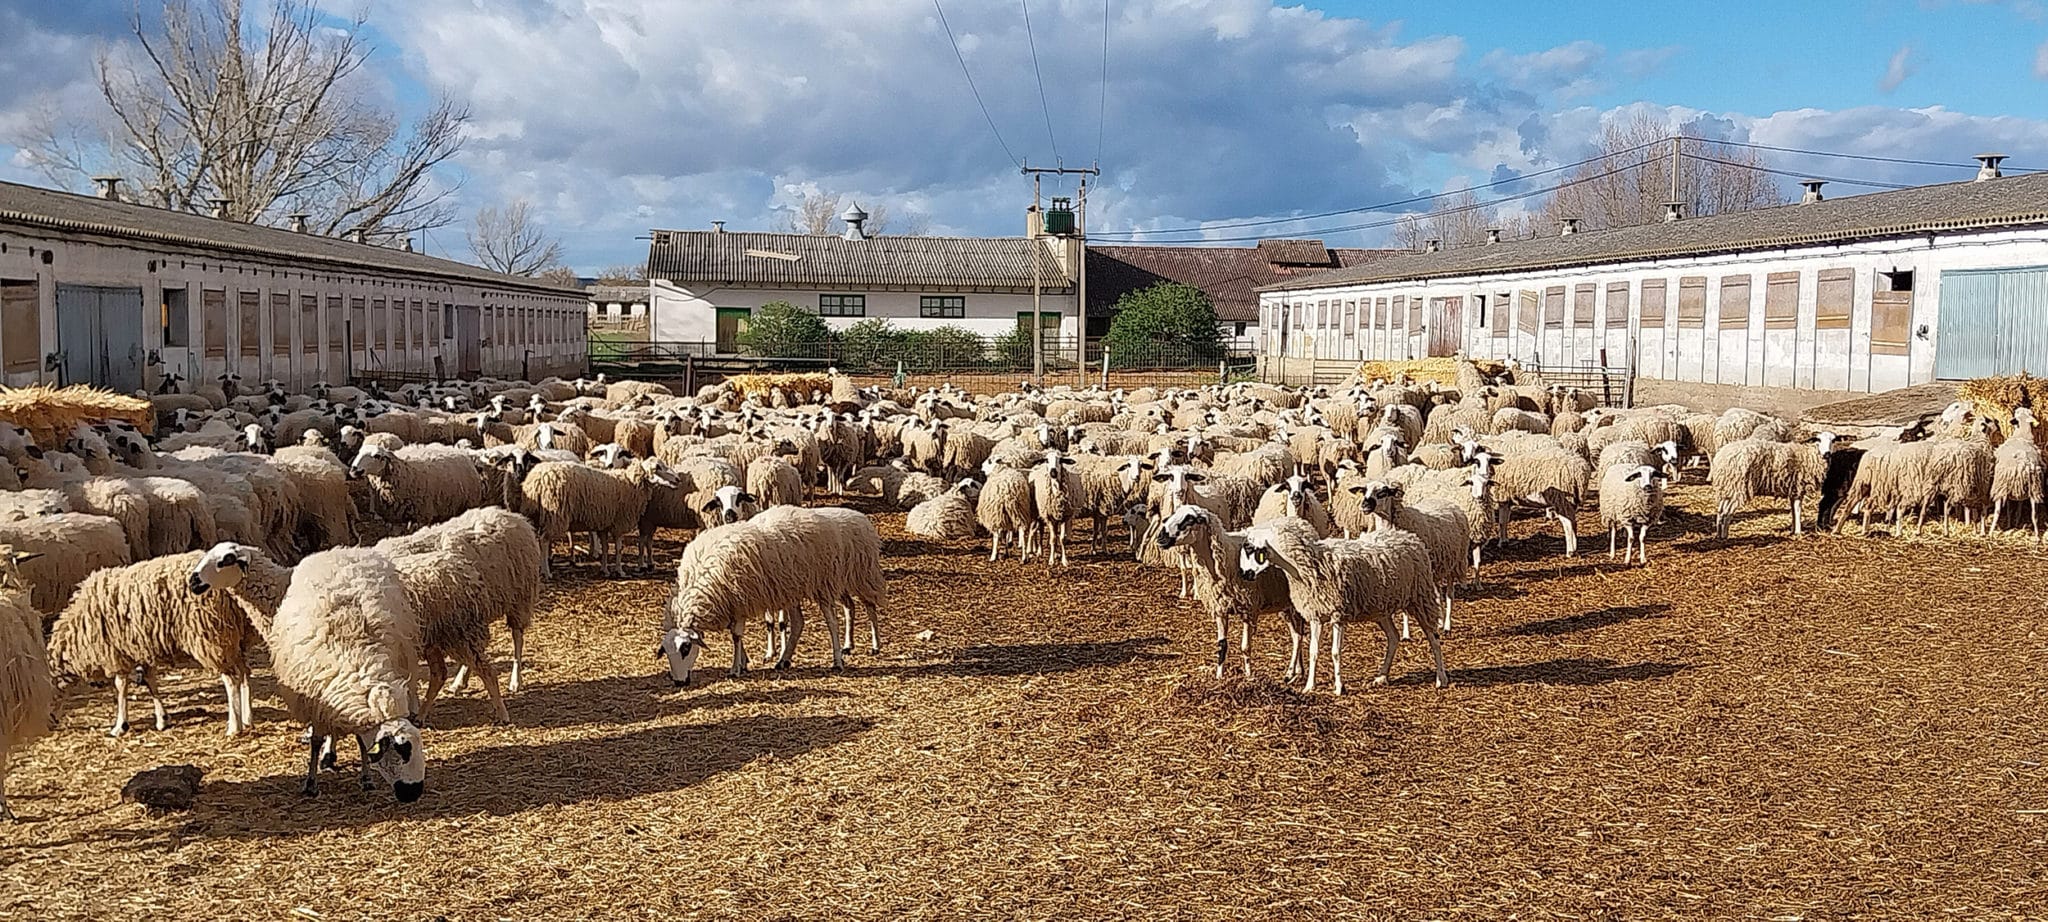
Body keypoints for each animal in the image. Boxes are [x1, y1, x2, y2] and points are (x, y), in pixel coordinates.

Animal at [201, 546, 425, 801]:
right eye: (402, 752)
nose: (415, 792)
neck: (356, 652)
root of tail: (341, 551)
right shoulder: (315, 698)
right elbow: (317, 741)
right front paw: (311, 782)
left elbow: (360, 741)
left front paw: (366, 778)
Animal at [350, 443, 485, 529]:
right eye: (359, 452)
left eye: (377, 456)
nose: (354, 469)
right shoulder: (393, 519)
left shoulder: (422, 516)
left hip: (468, 504)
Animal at [1154, 505, 1305, 680]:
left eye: (1189, 519)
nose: (1161, 537)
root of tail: (1298, 522)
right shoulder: (1220, 609)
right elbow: (1222, 645)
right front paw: (1219, 676)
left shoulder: (1249, 608)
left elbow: (1245, 647)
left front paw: (1249, 676)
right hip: (1285, 603)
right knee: (1296, 635)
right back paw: (1298, 670)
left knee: (1299, 636)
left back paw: (1290, 672)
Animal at [1237, 516, 1446, 693]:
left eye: (1250, 549)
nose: (1244, 574)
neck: (1307, 566)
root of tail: (1410, 537)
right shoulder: (1316, 615)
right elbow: (1313, 651)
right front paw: (1309, 686)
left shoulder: (1338, 615)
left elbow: (1335, 652)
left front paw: (1338, 687)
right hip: (1381, 609)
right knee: (1394, 637)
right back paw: (1381, 676)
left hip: (1420, 597)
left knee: (1434, 638)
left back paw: (1441, 679)